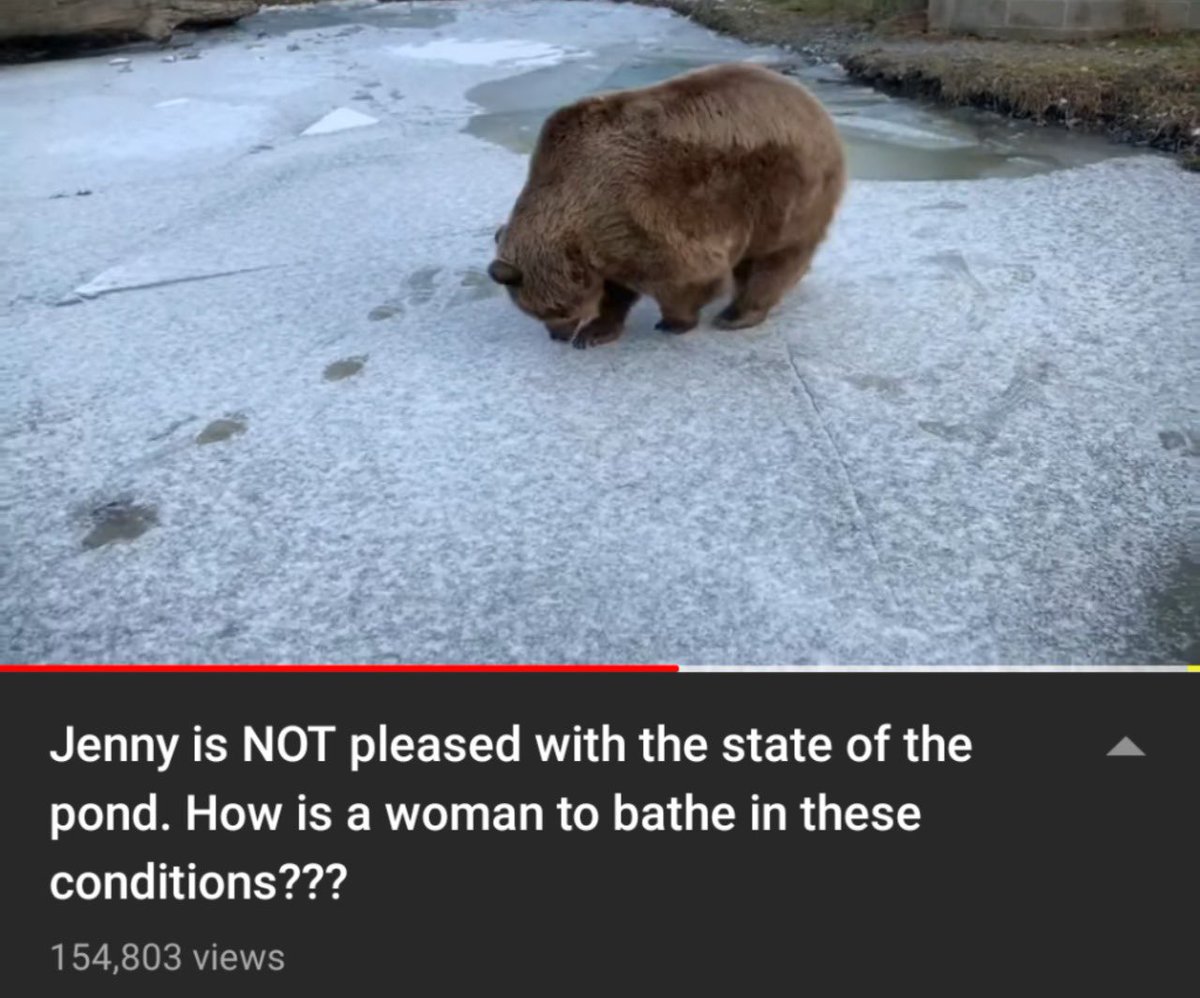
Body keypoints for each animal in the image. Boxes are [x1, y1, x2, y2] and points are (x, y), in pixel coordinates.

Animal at [487, 62, 846, 349]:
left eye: (558, 308)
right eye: (534, 311)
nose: (558, 335)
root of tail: (815, 106)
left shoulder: (644, 215)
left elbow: (685, 278)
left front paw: (674, 322)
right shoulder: (608, 240)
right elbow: (615, 290)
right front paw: (596, 331)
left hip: (781, 190)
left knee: (776, 257)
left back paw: (736, 314)